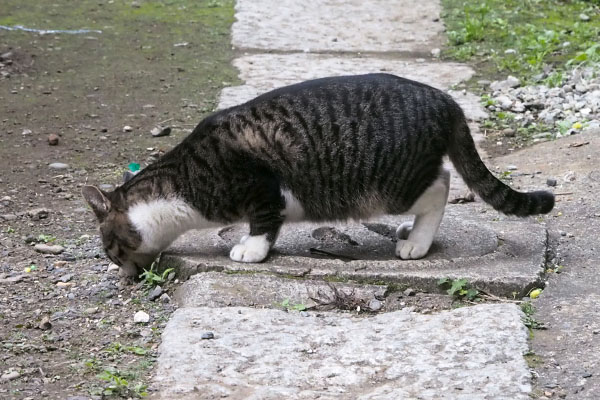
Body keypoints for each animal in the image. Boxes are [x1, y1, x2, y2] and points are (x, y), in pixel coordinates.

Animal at [82, 73, 556, 276]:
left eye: (110, 248)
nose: (119, 271)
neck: (180, 188)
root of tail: (446, 100)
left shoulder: (262, 188)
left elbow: (263, 224)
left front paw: (251, 249)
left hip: (390, 185)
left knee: (440, 184)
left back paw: (417, 242)